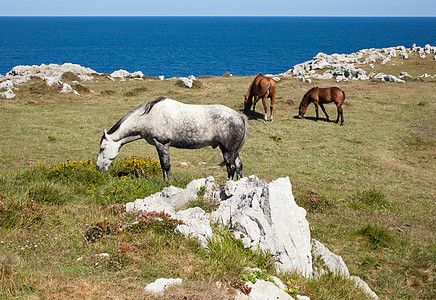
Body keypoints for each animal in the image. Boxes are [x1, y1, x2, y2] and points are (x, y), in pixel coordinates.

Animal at [98, 97, 247, 180]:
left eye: (102, 148)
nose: (98, 167)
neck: (148, 117)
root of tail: (240, 117)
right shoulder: (159, 146)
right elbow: (163, 165)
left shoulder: (162, 144)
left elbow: (166, 165)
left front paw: (169, 183)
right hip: (234, 151)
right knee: (238, 166)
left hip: (227, 150)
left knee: (231, 168)